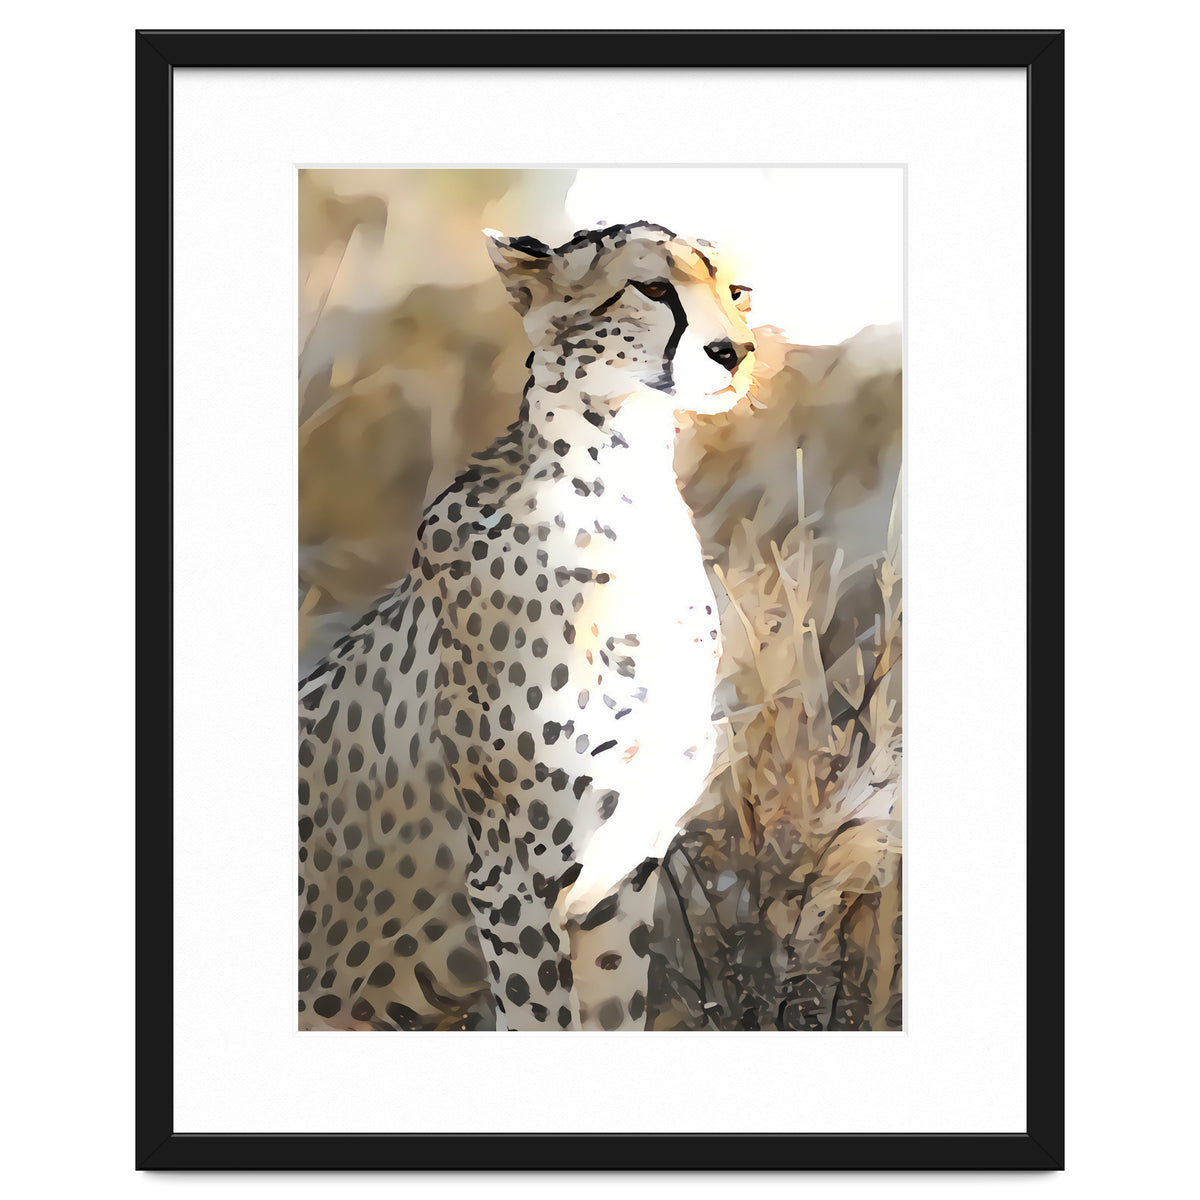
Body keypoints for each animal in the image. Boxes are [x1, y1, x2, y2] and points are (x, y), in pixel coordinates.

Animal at [298, 221, 757, 1031]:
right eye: (653, 287)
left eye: (737, 292)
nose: (736, 351)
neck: (625, 491)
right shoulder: (510, 886)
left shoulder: (618, 886)